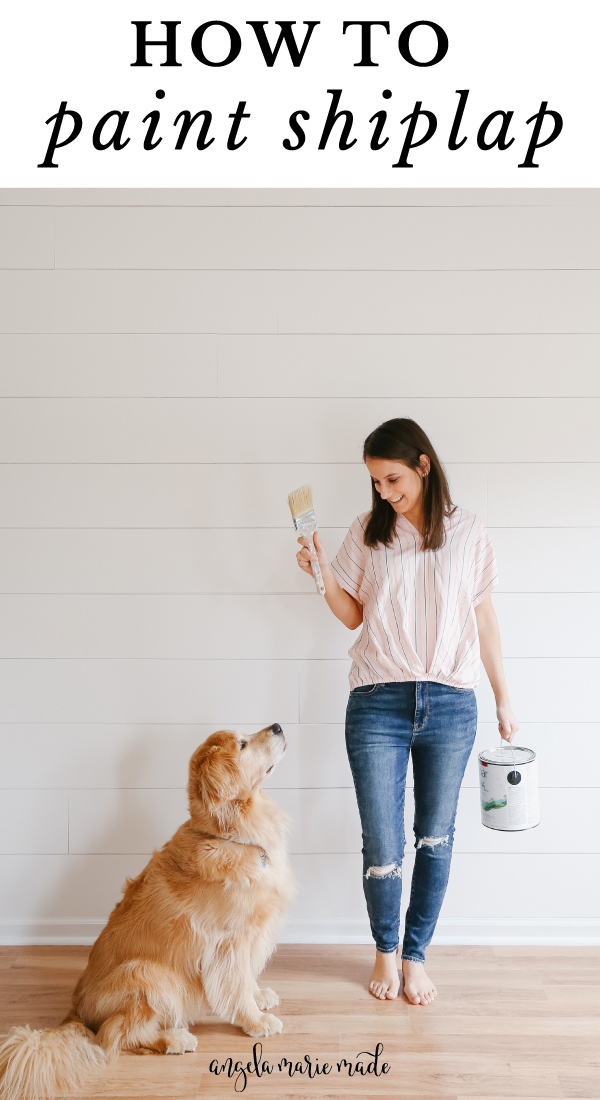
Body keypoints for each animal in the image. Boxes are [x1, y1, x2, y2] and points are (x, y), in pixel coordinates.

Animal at [0, 721, 292, 1100]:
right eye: (242, 745)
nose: (278, 726)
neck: (231, 834)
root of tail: (75, 1013)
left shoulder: (250, 938)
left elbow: (247, 978)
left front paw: (260, 996)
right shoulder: (229, 943)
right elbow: (237, 985)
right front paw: (255, 1020)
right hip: (148, 974)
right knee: (115, 1036)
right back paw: (175, 1039)